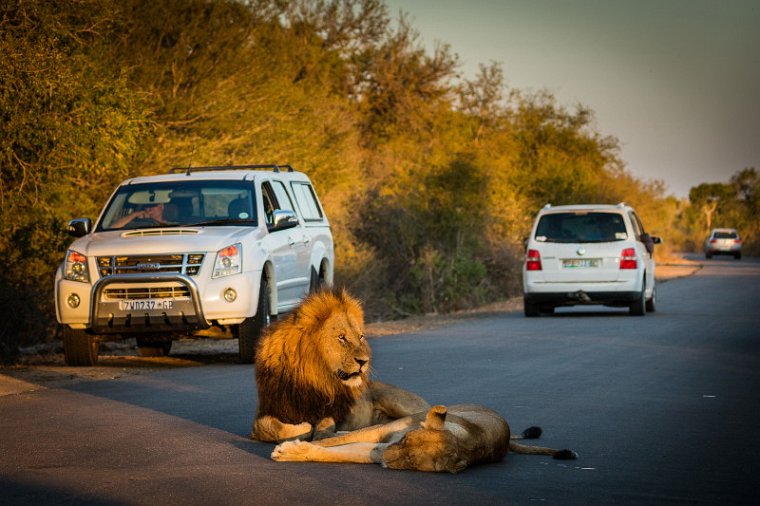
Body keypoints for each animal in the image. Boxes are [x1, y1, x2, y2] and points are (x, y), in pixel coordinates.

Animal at [252, 288, 430, 442]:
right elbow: (270, 427)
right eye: (341, 337)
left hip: (397, 400)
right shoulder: (268, 410)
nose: (364, 361)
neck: (312, 378)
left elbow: (324, 424)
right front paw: (303, 427)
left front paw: (317, 431)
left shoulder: (335, 412)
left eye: (360, 337)